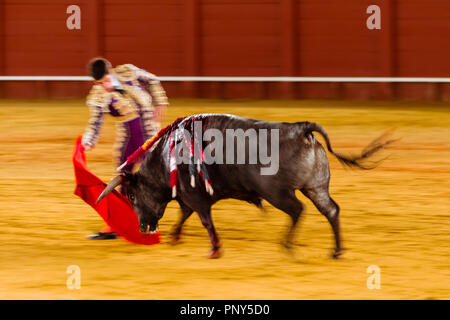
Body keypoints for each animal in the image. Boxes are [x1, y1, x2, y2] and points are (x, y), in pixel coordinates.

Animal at [96, 114, 394, 258]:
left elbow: (204, 219)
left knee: (297, 210)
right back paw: (336, 251)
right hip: (316, 188)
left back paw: (287, 246)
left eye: (132, 195)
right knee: (331, 210)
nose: (143, 228)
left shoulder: (195, 195)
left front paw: (215, 249)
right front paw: (175, 237)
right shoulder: (188, 197)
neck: (165, 157)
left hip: (277, 193)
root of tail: (300, 129)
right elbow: (184, 215)